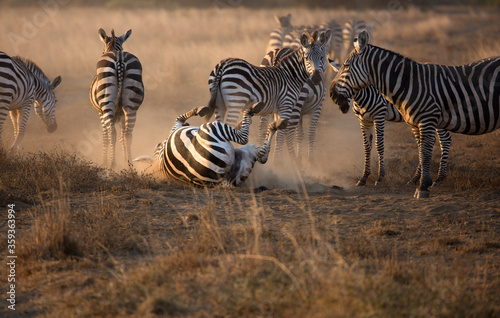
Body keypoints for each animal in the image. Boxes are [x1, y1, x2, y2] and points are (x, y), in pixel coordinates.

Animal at [89, 28, 145, 169]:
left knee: (112, 133)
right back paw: (130, 164)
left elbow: (105, 136)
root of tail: (119, 59)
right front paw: (124, 159)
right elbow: (122, 135)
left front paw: (103, 162)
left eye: (102, 51)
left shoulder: (100, 112)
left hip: (106, 101)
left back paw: (111, 164)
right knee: (128, 134)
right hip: (131, 105)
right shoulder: (121, 113)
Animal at [133, 103, 286, 188]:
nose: (160, 143)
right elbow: (179, 118)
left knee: (262, 155)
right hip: (212, 128)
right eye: (158, 145)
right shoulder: (173, 131)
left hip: (243, 163)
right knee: (247, 141)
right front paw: (197, 110)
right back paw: (263, 117)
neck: (158, 158)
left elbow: (179, 119)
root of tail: (222, 181)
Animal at [332, 30, 500, 199]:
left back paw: (436, 178)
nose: (333, 96)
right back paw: (423, 179)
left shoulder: (380, 115)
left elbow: (380, 145)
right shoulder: (364, 120)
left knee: (444, 140)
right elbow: (367, 147)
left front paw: (380, 177)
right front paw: (363, 177)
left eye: (346, 65)